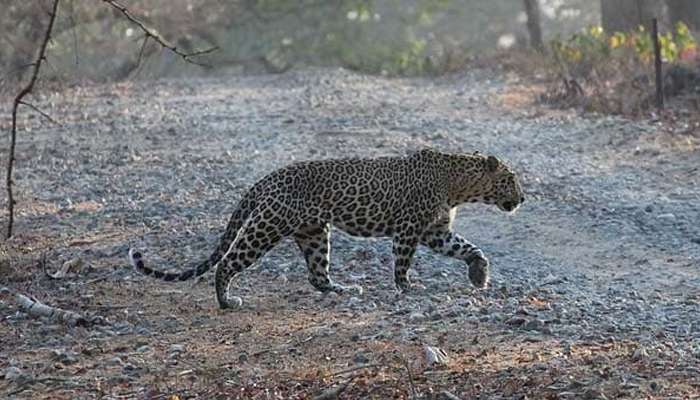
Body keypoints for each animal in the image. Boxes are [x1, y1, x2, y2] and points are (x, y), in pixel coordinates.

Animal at [130, 147, 524, 310]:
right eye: (510, 179)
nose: (522, 198)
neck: (459, 185)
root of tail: (266, 179)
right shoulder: (410, 228)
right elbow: (402, 261)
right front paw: (407, 288)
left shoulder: (435, 231)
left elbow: (468, 247)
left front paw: (479, 274)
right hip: (266, 226)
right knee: (227, 262)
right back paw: (227, 302)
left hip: (314, 233)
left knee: (317, 275)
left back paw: (343, 290)